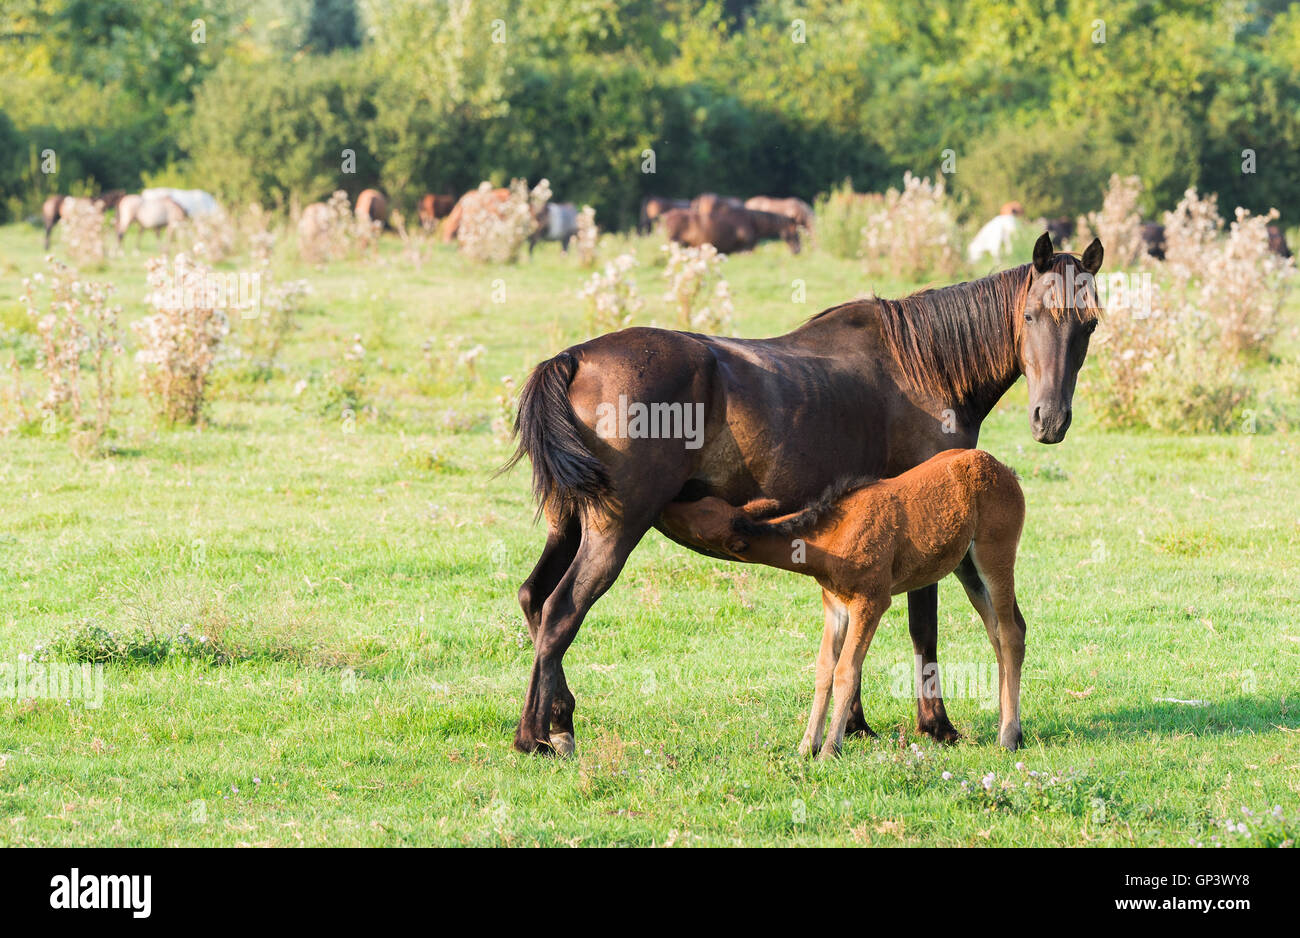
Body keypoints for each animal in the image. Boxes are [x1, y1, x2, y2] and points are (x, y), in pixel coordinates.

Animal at [660, 448, 1027, 757]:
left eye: (701, 513)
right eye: (707, 503)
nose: (667, 505)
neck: (831, 540)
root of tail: (1004, 470)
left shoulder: (871, 602)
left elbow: (847, 671)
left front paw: (829, 749)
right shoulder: (835, 605)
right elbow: (824, 668)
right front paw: (806, 745)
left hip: (995, 554)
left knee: (1010, 634)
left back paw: (1008, 737)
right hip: (967, 569)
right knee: (1000, 632)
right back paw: (1009, 728)